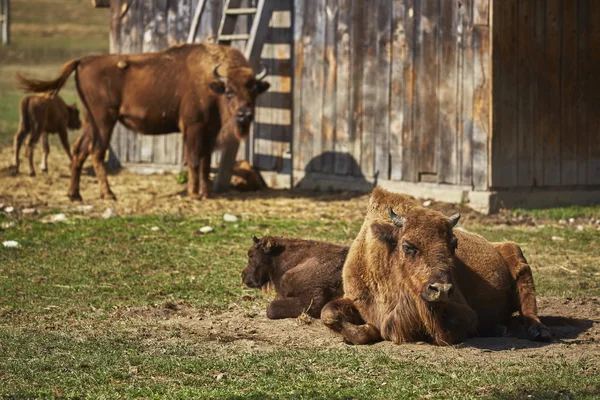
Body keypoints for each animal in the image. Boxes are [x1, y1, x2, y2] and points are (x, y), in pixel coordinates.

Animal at [16, 42, 270, 202]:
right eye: (229, 91)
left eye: (254, 90)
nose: (245, 115)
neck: (211, 82)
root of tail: (84, 61)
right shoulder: (193, 128)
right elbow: (194, 161)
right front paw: (194, 194)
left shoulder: (209, 131)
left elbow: (206, 162)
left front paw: (206, 193)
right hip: (104, 120)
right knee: (97, 152)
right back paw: (108, 194)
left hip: (90, 121)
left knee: (80, 150)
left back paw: (75, 195)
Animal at [322, 186, 552, 346]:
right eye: (408, 246)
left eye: (454, 244)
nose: (441, 290)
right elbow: (328, 313)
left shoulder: (463, 313)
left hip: (517, 257)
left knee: (528, 302)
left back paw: (538, 332)